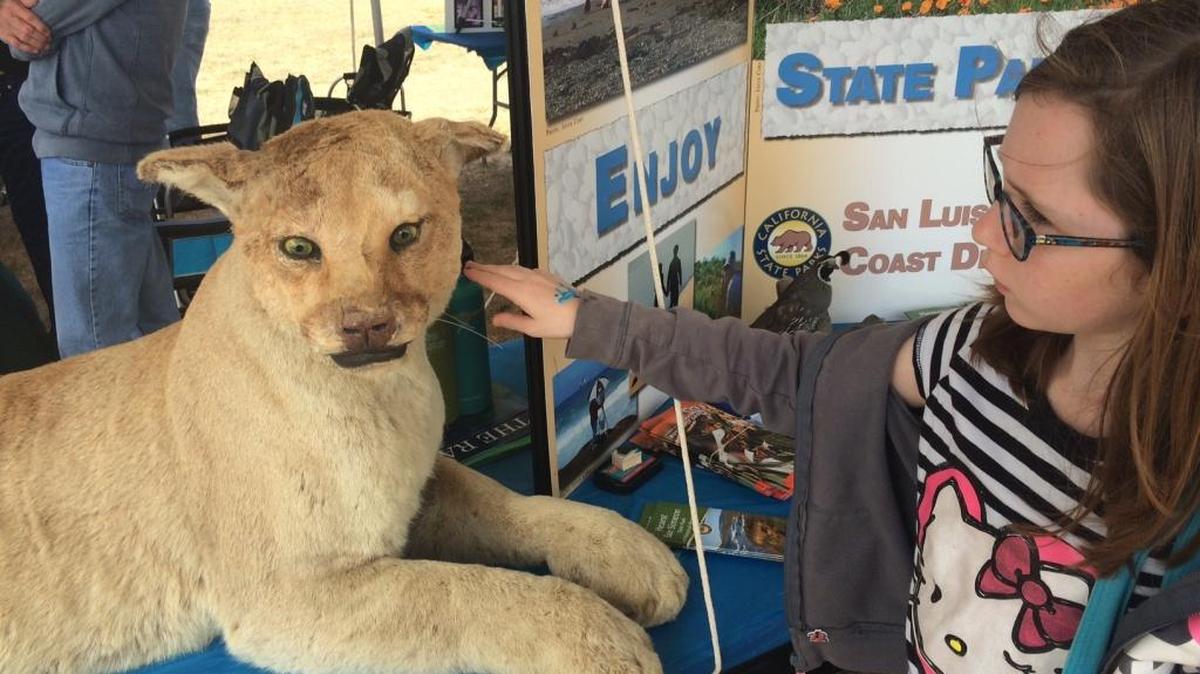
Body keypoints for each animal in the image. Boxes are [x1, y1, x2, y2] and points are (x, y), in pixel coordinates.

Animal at [0, 110, 687, 674]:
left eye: (405, 233)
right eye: (298, 247)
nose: (366, 325)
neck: (389, 398)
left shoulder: (422, 485)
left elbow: (511, 503)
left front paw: (631, 554)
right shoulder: (288, 594)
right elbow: (464, 591)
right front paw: (602, 639)